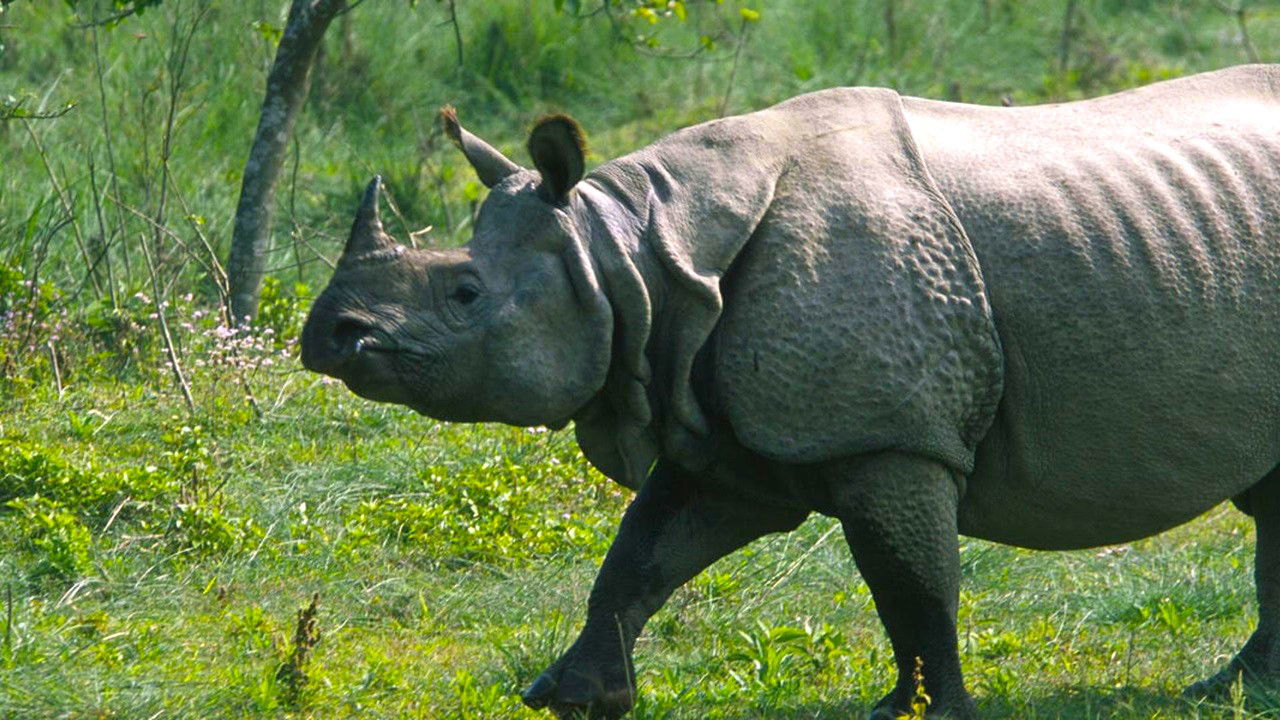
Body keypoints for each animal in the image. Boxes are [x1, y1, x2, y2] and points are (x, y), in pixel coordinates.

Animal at [302, 64, 1280, 712]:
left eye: (463, 293)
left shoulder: (888, 435)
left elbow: (911, 585)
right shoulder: (719, 428)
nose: (329, 335)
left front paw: (920, 713)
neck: (633, 255)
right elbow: (640, 555)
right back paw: (1229, 690)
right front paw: (568, 698)